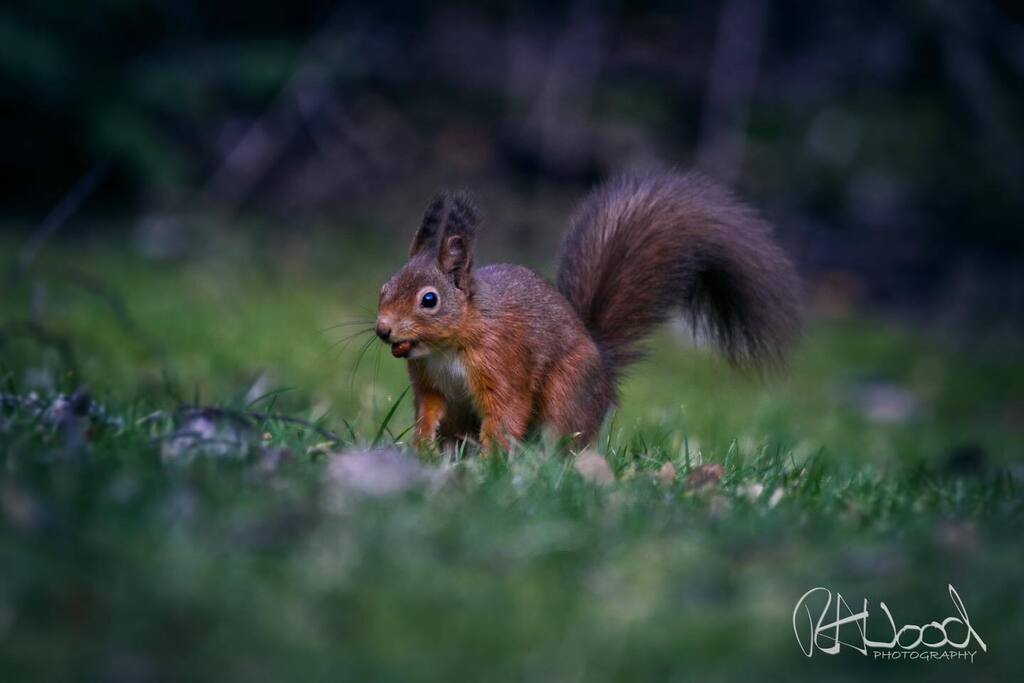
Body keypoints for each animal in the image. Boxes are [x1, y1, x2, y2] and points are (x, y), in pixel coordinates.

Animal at [375, 171, 801, 451]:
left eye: (429, 300)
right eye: (384, 287)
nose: (383, 330)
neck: (449, 346)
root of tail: (605, 373)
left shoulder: (502, 361)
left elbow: (506, 412)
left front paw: (491, 458)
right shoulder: (430, 383)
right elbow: (429, 410)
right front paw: (423, 444)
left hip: (567, 392)